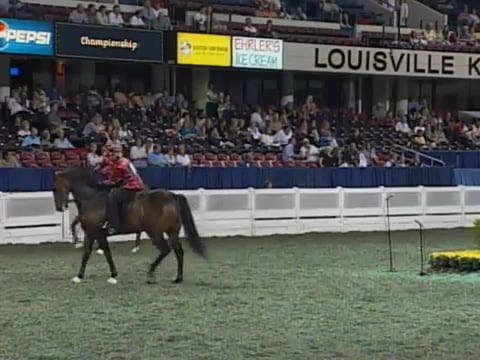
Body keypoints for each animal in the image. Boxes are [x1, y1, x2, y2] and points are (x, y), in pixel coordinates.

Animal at [53, 167, 206, 286]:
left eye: (55, 188)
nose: (60, 207)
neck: (92, 198)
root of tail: (172, 196)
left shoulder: (95, 233)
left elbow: (97, 253)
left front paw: (109, 276)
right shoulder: (94, 234)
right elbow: (95, 253)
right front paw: (82, 276)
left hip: (154, 233)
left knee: (165, 249)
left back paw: (150, 274)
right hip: (172, 232)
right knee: (179, 252)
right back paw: (178, 278)